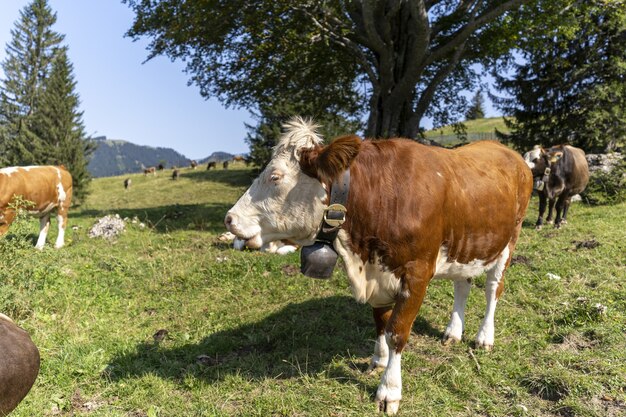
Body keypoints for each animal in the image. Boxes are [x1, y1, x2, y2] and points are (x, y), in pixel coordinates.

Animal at [224, 117, 532, 412]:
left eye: (275, 176)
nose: (229, 218)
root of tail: (504, 149)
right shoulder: (379, 273)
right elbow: (381, 323)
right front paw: (379, 360)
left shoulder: (417, 273)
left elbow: (397, 332)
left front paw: (389, 390)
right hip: (467, 244)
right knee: (463, 285)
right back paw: (453, 331)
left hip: (509, 241)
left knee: (493, 289)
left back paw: (484, 337)